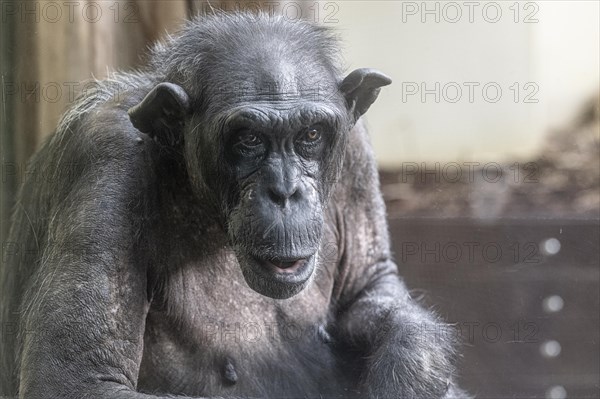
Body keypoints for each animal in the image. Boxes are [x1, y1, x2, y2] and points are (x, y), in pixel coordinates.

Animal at [1, 10, 468, 398]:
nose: (285, 191)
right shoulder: (104, 159)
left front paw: (409, 371)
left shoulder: (354, 152)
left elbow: (368, 285)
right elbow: (77, 378)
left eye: (311, 135)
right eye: (249, 139)